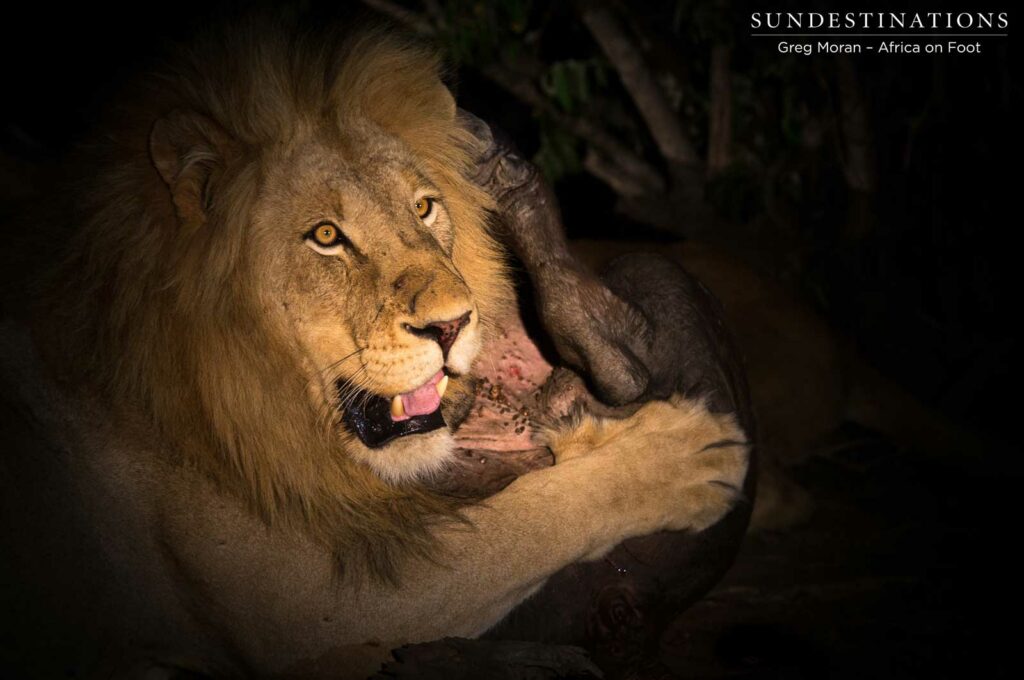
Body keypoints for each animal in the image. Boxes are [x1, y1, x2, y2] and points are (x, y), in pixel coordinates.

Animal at [0, 20, 749, 677]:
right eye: (327, 236)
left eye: (424, 207)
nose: (454, 325)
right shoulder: (308, 608)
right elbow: (530, 519)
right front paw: (693, 454)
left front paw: (595, 425)